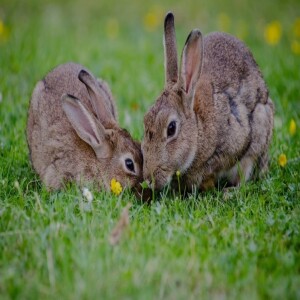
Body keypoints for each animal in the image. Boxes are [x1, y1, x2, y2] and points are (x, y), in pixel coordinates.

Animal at [142, 12, 274, 191]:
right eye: (145, 121)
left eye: (171, 128)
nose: (149, 180)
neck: (198, 129)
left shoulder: (235, 140)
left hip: (261, 126)